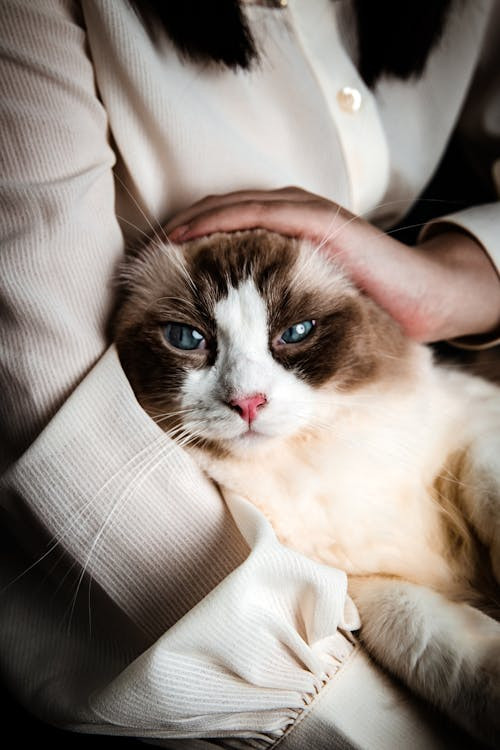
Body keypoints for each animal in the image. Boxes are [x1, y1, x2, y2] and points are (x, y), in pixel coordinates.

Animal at [114, 229, 500, 748]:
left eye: (296, 332)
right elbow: (425, 641)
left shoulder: (472, 431)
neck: (317, 462)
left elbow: (487, 485)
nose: (248, 402)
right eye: (187, 338)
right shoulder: (367, 585)